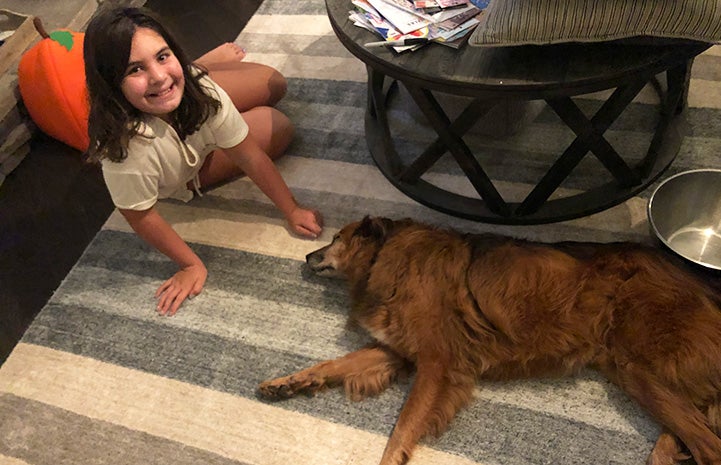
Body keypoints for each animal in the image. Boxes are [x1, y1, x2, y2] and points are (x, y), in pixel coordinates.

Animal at [258, 218, 721, 464]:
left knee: (709, 443)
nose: (306, 255)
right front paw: (290, 382)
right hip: (636, 374)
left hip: (639, 367)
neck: (390, 256)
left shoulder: (438, 364)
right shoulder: (396, 351)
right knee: (697, 426)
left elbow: (402, 428)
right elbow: (335, 365)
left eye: (336, 239)